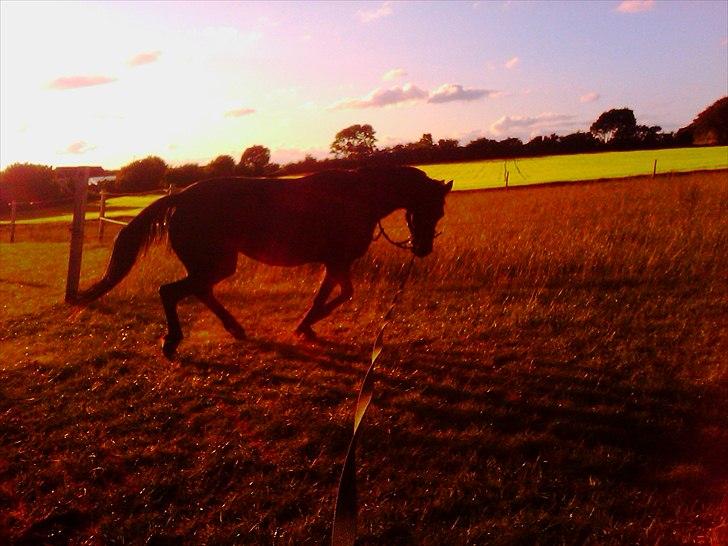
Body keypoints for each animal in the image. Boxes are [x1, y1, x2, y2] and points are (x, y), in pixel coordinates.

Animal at [81, 166, 456, 356]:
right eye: (434, 208)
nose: (423, 249)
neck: (357, 196)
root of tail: (182, 197)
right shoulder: (338, 262)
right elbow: (342, 295)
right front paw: (306, 326)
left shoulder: (334, 263)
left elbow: (328, 295)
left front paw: (306, 326)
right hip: (216, 264)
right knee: (171, 291)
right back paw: (172, 341)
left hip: (214, 265)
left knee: (199, 292)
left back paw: (234, 328)